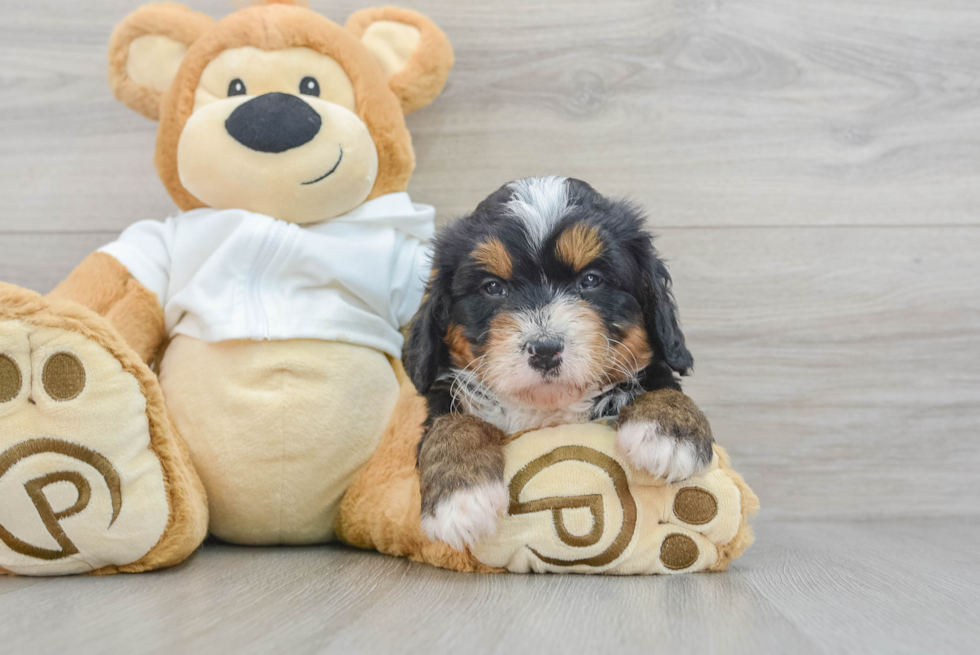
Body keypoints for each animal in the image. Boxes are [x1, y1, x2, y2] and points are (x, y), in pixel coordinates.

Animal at [402, 177, 716, 552]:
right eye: (493, 287)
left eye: (591, 280)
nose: (545, 349)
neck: (547, 411)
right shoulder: (443, 400)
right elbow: (451, 424)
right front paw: (460, 498)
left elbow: (664, 383)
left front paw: (670, 433)